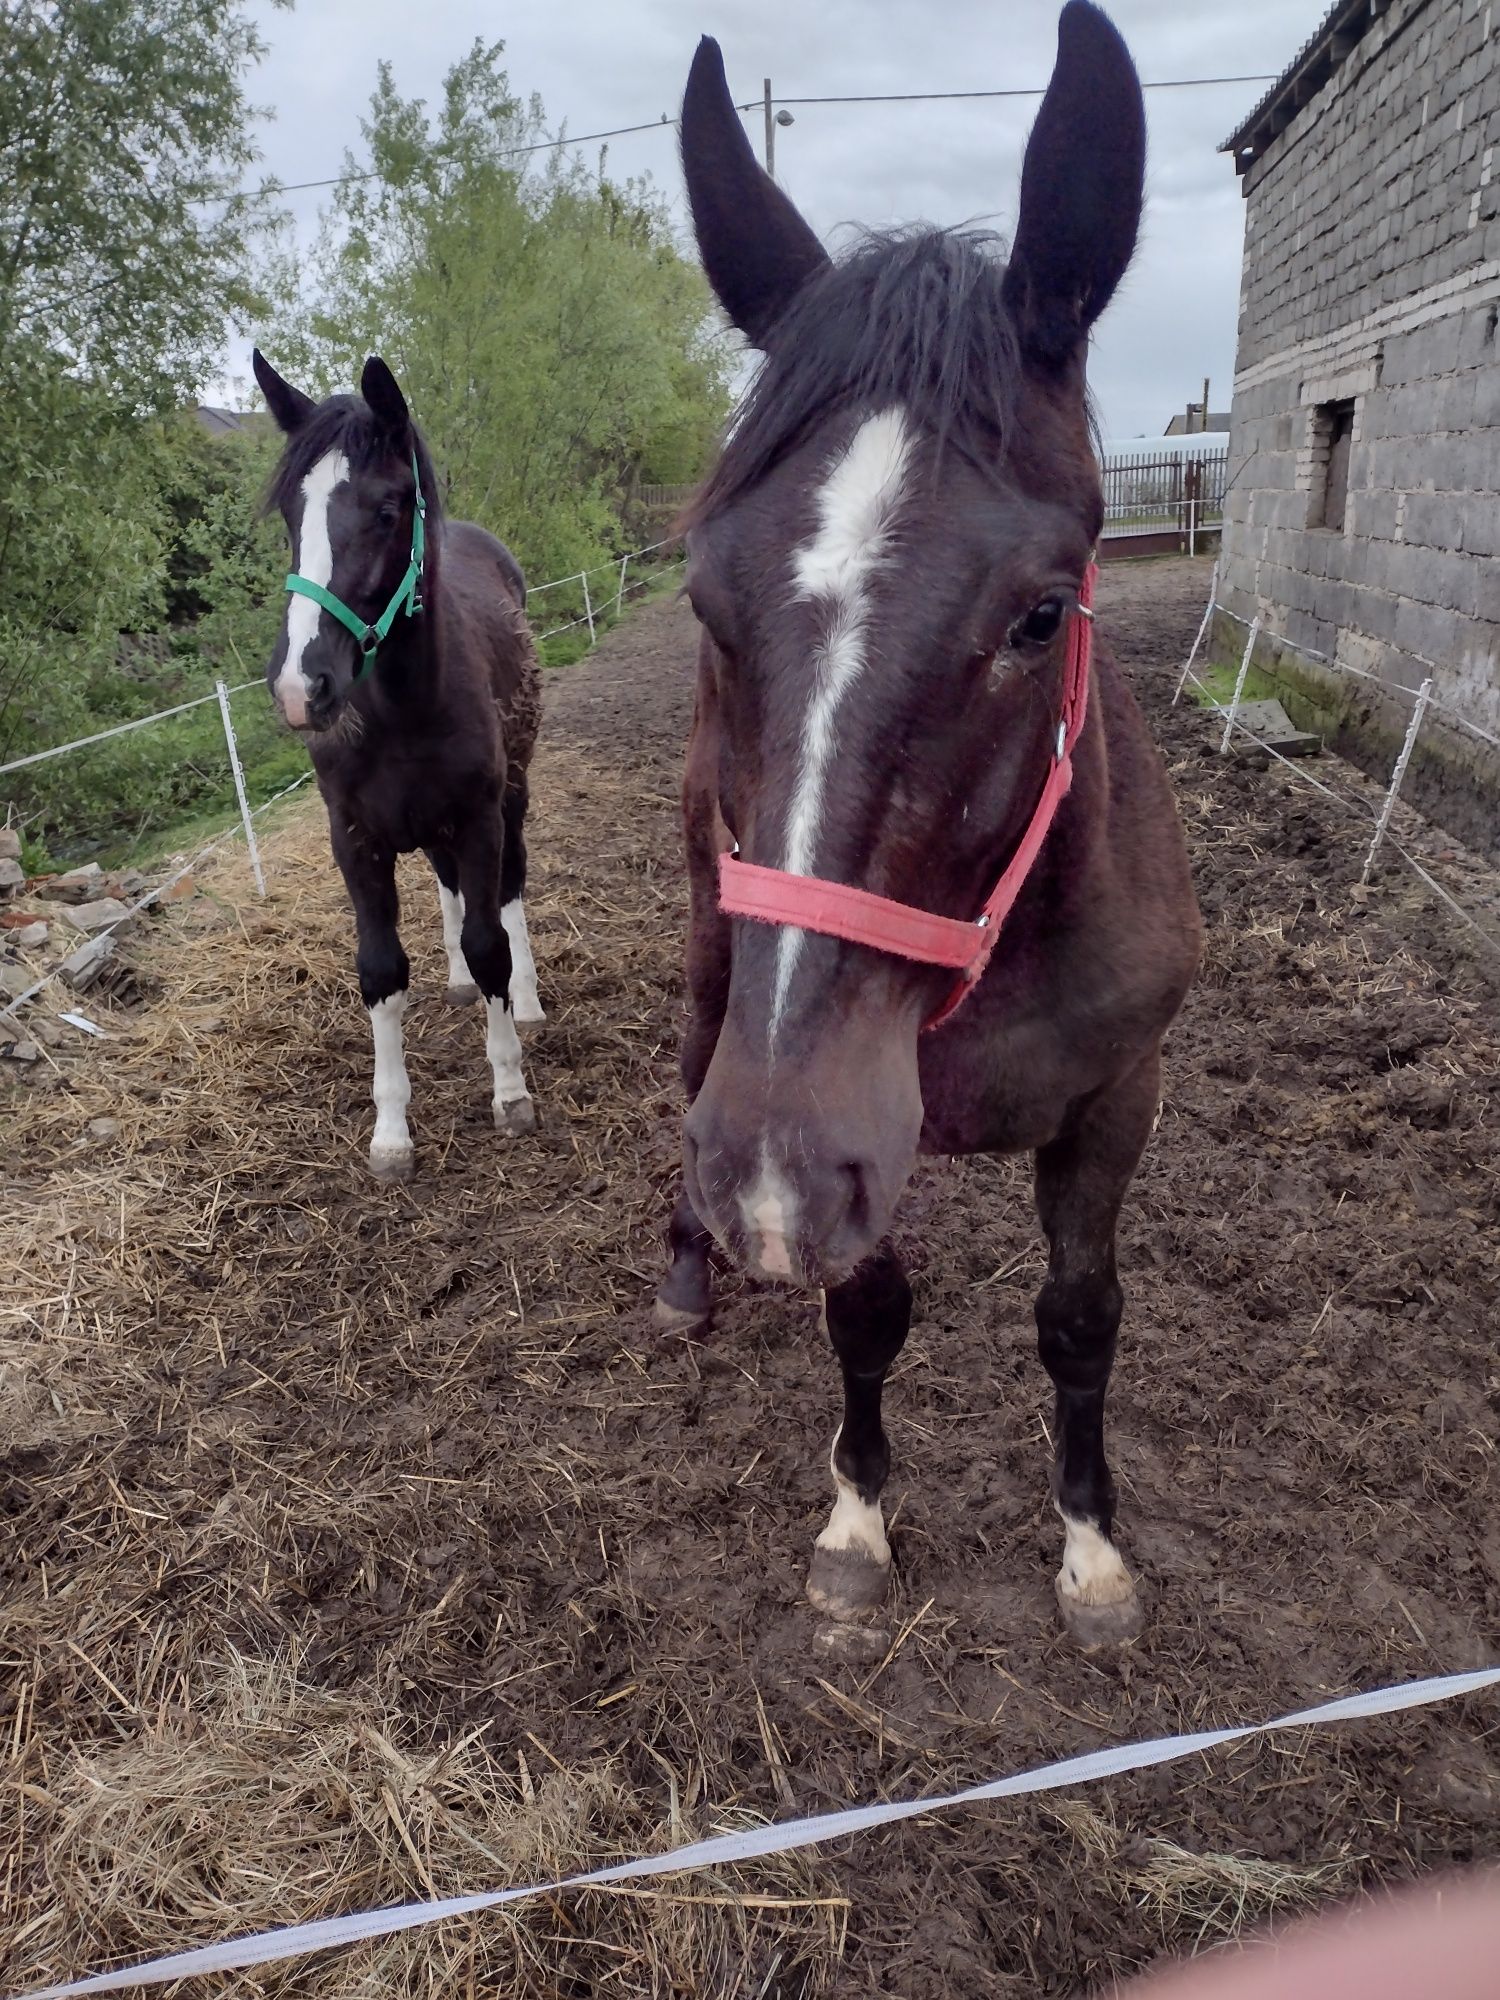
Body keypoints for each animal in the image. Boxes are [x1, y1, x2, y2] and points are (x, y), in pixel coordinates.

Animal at [254, 354, 548, 1176]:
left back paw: (528, 1001)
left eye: (387, 510)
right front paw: (389, 1132)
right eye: (290, 513)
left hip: (509, 800)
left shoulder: (479, 817)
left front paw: (509, 1091)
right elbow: (382, 969)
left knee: (507, 895)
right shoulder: (356, 839)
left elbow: (489, 942)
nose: (301, 688)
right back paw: (456, 985)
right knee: (450, 890)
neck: (403, 711)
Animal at [664, 7, 1208, 1648]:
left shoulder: (1116, 1096)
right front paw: (857, 1521)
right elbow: (866, 1309)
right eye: (704, 599)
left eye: (1043, 612)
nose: (765, 1182)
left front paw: (1091, 1548)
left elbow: (1080, 1316)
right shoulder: (834, 1113)